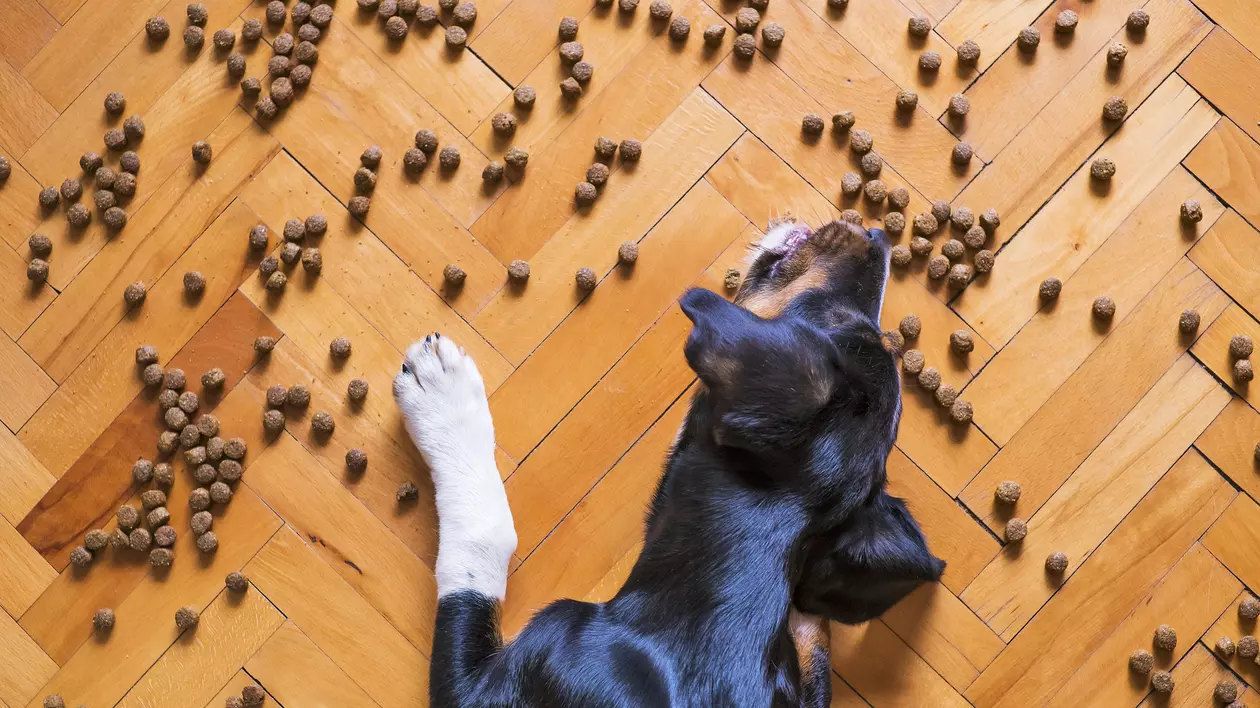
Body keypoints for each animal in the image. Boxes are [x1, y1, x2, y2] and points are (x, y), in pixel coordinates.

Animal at [393, 217, 947, 700]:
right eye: (862, 329)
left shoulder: (480, 688)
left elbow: (481, 547)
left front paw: (442, 395)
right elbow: (813, 646)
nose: (877, 237)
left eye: (833, 321)